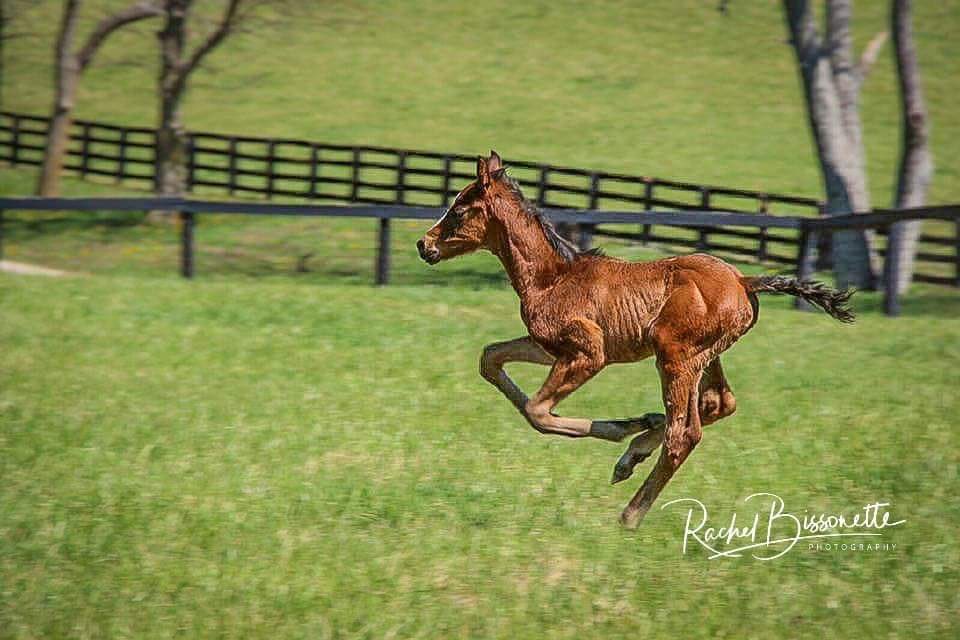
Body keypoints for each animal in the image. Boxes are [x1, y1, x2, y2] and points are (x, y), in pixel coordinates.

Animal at [417, 151, 854, 528]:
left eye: (459, 209)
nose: (424, 244)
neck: (553, 277)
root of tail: (745, 281)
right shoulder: (547, 347)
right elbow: (490, 358)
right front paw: (636, 425)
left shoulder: (589, 352)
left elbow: (537, 412)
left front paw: (618, 428)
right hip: (705, 357)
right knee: (719, 403)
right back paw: (638, 447)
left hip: (675, 357)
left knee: (685, 434)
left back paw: (630, 513)